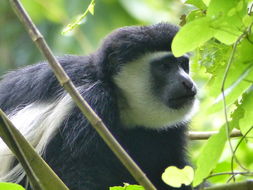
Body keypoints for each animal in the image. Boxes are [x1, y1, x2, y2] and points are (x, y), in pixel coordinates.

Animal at [0, 23, 198, 190]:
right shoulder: (89, 104)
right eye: (164, 66)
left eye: (183, 64)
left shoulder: (165, 131)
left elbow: (167, 167)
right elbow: (74, 169)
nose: (188, 83)